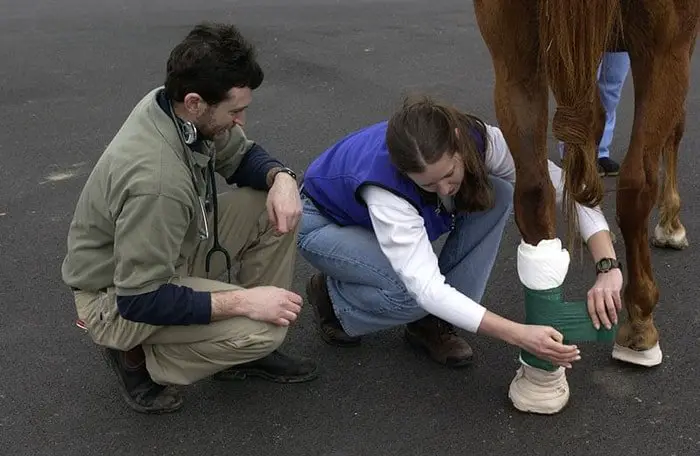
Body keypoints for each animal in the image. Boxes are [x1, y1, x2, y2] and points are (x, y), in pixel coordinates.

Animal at [474, 0, 696, 410]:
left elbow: (590, 125)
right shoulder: (679, 44)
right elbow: (674, 129)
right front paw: (671, 224)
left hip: (511, 47)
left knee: (534, 188)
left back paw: (541, 377)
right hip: (665, 46)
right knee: (637, 183)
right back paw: (640, 325)